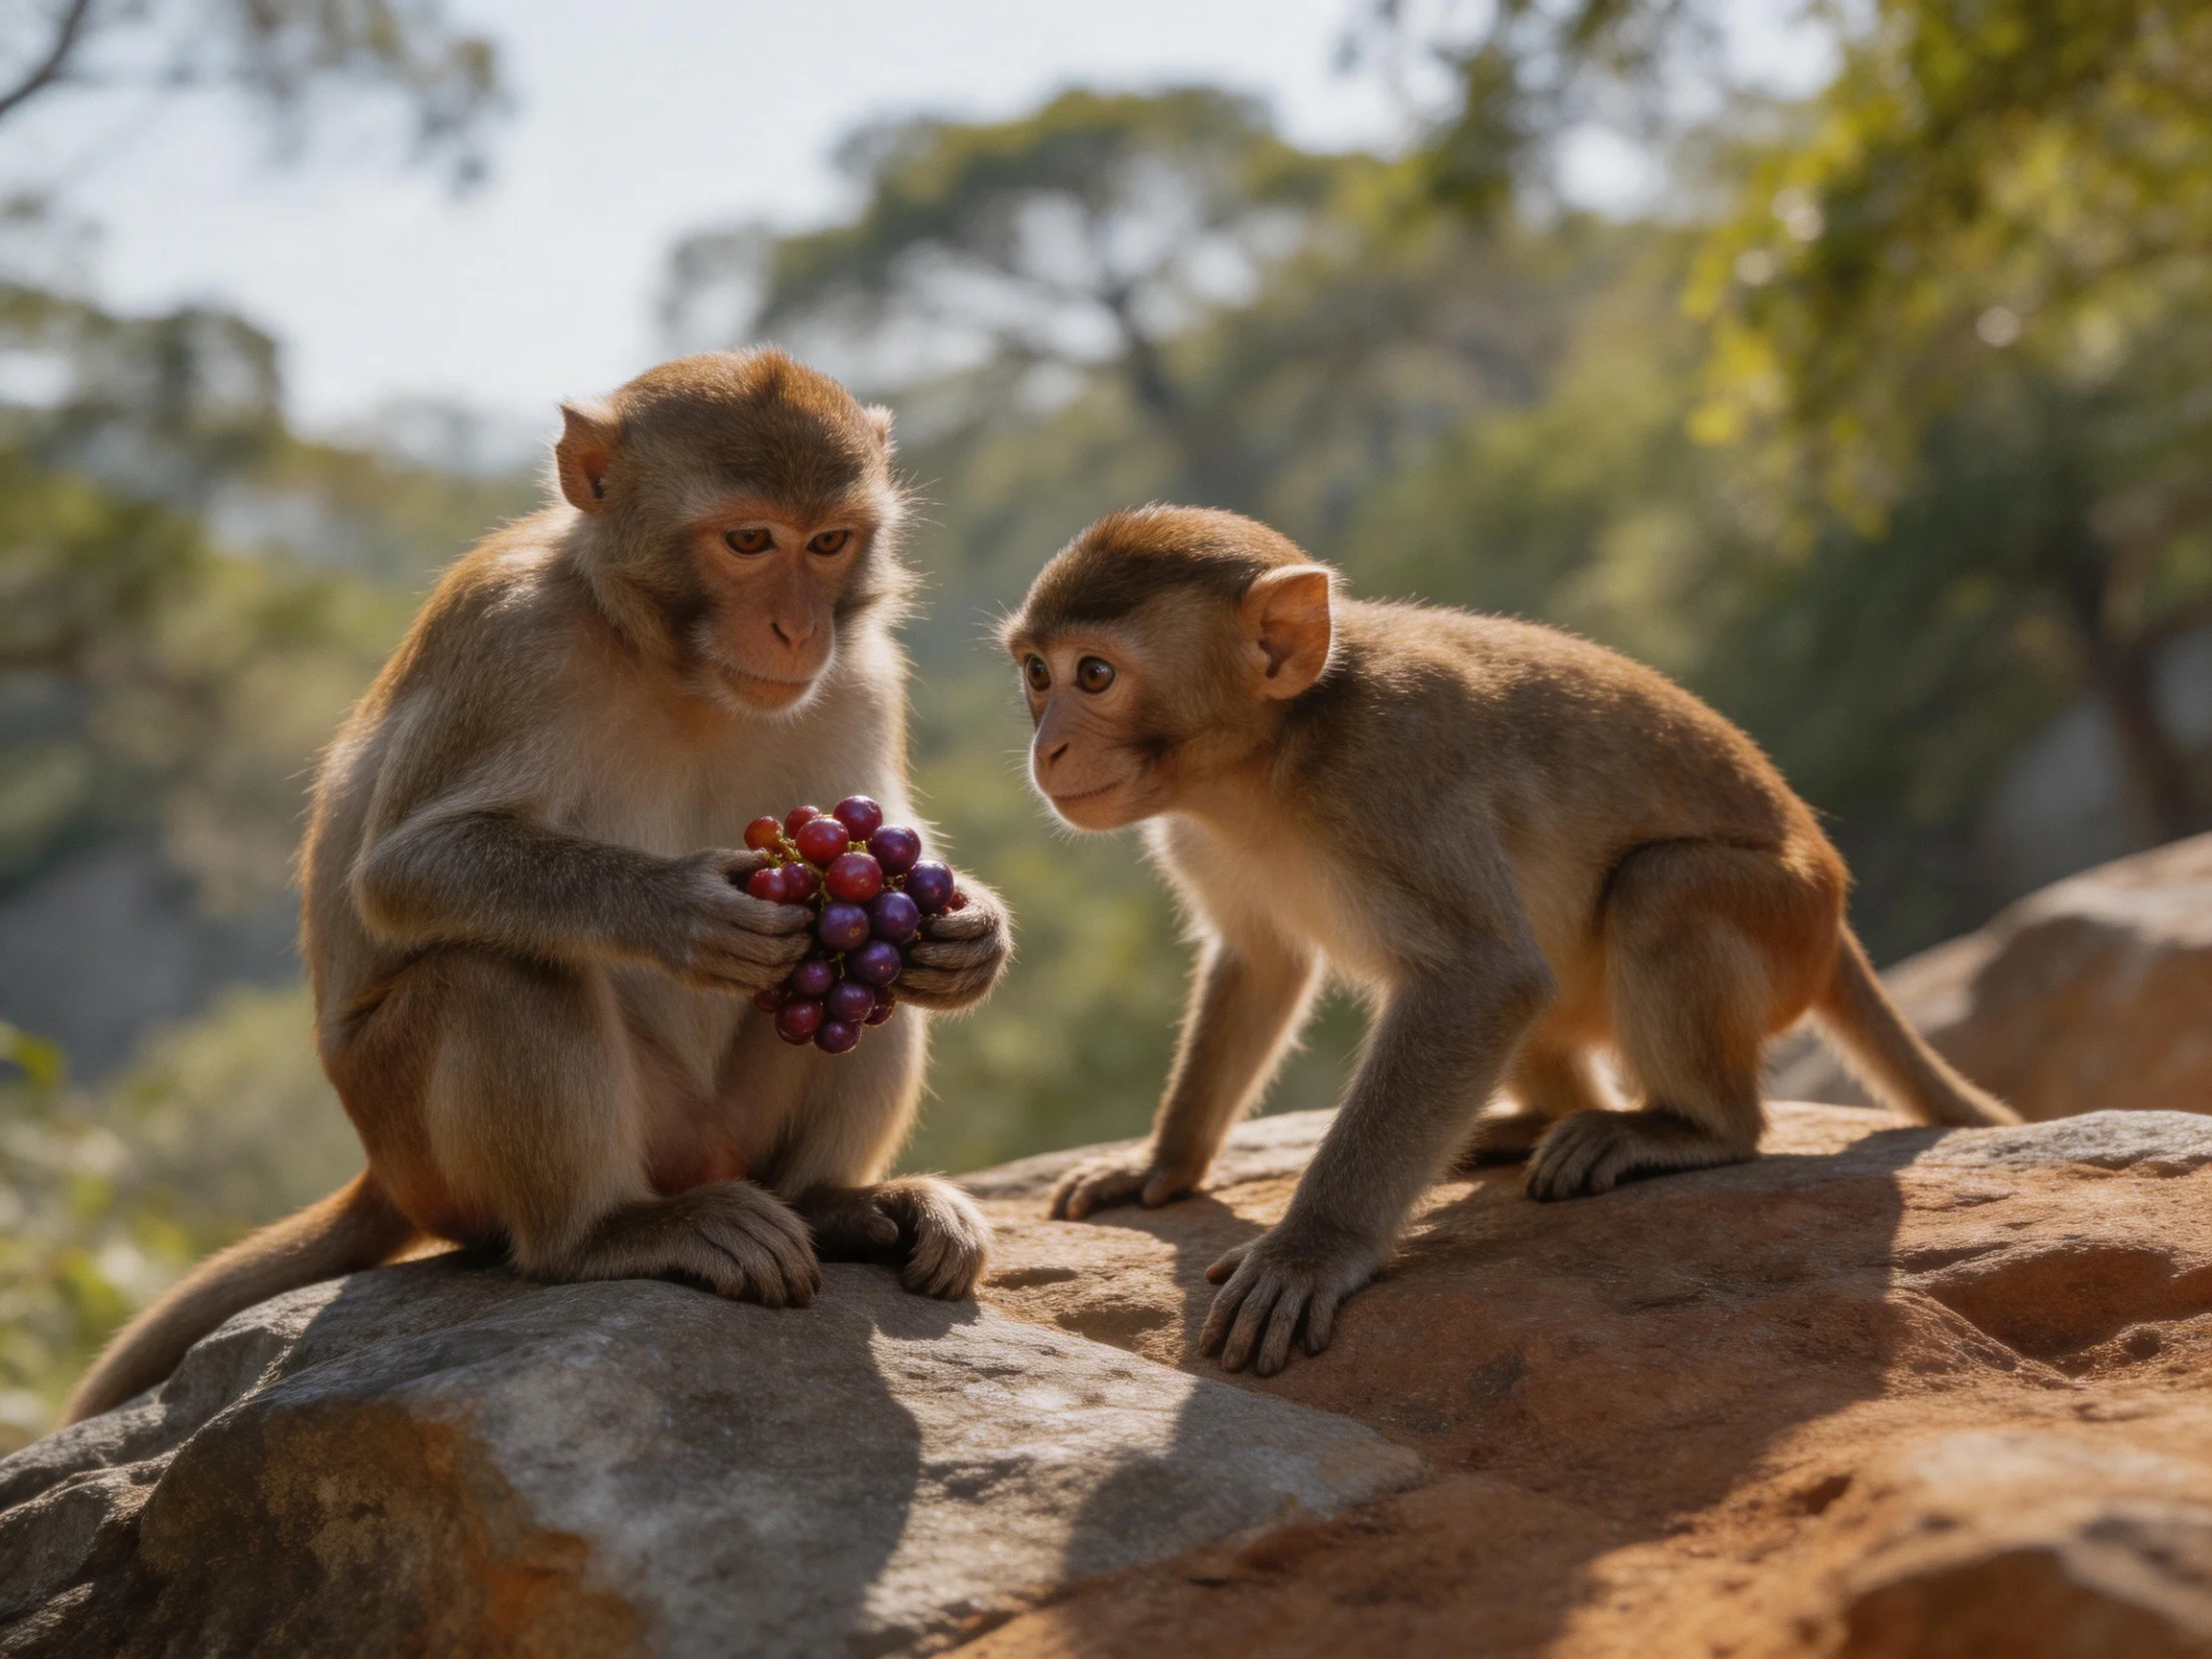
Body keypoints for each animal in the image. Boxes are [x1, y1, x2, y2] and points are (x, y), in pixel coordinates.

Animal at [64, 349, 1013, 1425]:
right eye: (748, 540)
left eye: (828, 542)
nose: (795, 628)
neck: (667, 661)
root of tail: (379, 1173)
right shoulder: (511, 638)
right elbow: (407, 870)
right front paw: (682, 911)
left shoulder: (862, 675)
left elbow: (894, 849)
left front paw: (974, 932)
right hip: (434, 1151)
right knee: (495, 968)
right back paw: (600, 1235)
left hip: (728, 1123)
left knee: (872, 985)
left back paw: (834, 1203)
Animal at [1004, 505, 2014, 1378]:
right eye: (1037, 675)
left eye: (1094, 675)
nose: (1046, 750)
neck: (1267, 757)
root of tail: (1836, 917)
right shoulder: (1198, 834)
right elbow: (1263, 963)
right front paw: (1161, 1166)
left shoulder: (1390, 776)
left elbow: (1481, 979)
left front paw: (1309, 1251)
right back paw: (1527, 1125)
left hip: (1782, 924)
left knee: (1661, 891)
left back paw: (1687, 1127)